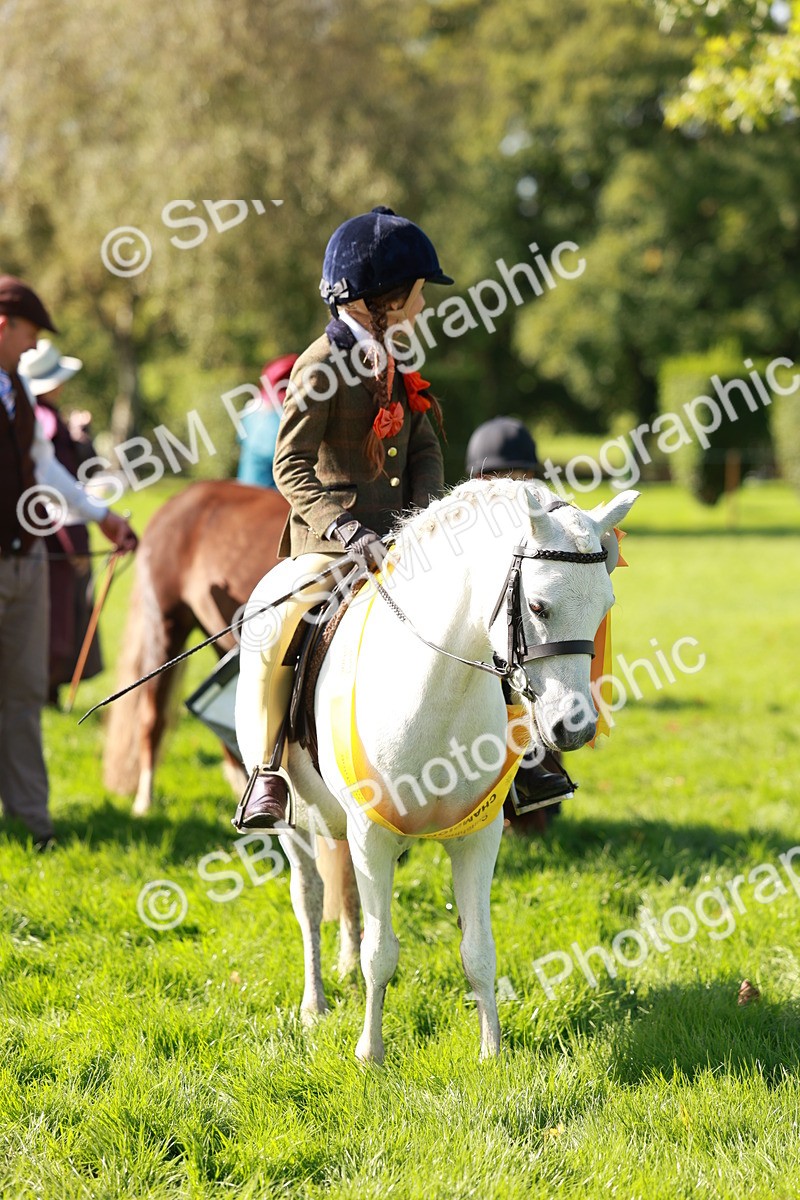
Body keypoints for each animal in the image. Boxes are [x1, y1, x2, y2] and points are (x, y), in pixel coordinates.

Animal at [236, 478, 639, 1060]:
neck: (438, 688)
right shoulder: (372, 833)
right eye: (538, 606)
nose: (575, 729)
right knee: (309, 900)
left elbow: (478, 951)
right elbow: (381, 952)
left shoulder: (478, 835)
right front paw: (370, 1055)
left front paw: (492, 1054)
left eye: (605, 605)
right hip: (294, 822)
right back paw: (315, 1004)